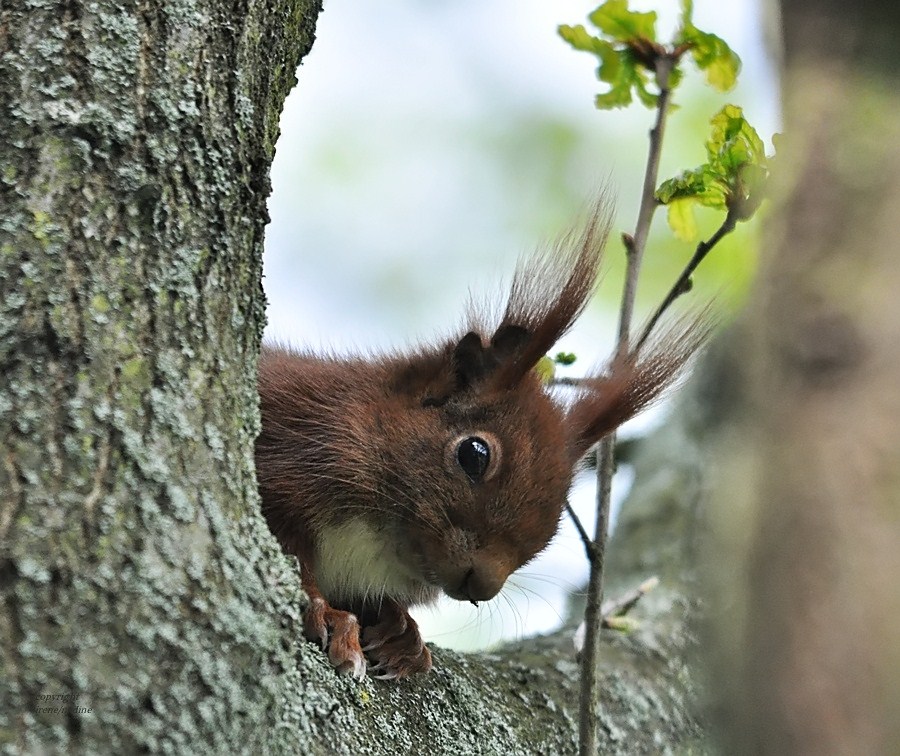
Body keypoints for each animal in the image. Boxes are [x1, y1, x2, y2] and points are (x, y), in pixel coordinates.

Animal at [253, 205, 704, 680]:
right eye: (474, 454)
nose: (483, 586)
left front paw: (401, 631)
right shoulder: (285, 456)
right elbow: (292, 556)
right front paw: (330, 615)